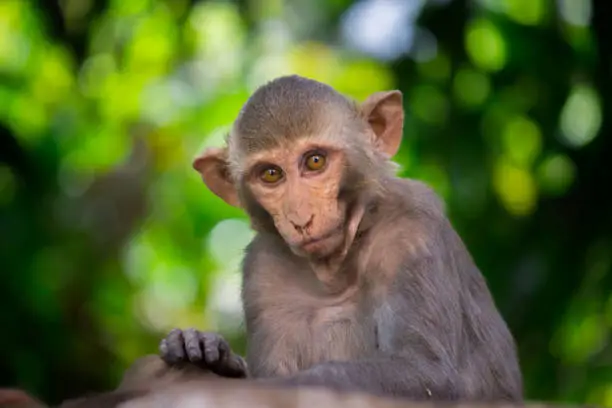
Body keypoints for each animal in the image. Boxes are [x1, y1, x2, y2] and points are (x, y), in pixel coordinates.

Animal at [155, 75, 524, 404]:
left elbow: (429, 373)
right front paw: (206, 351)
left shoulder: (413, 232)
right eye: (271, 174)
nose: (300, 218)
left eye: (315, 161)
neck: (337, 267)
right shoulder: (263, 270)